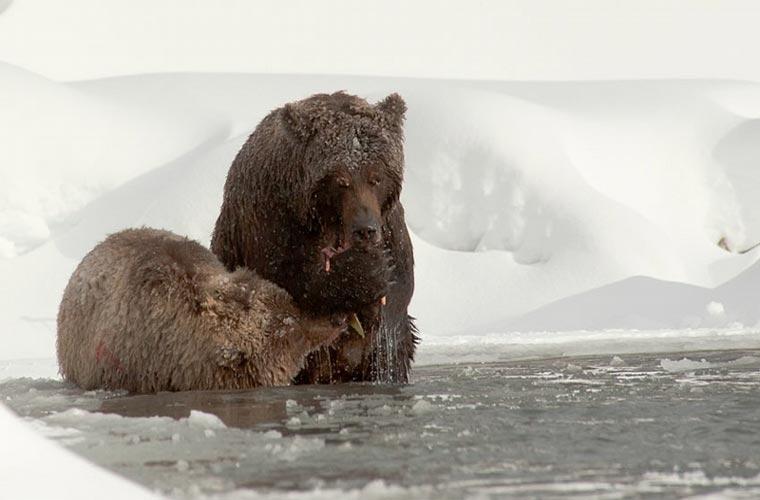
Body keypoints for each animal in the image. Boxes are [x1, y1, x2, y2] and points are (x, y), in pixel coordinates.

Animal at [211, 92, 418, 384]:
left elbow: (399, 287)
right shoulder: (273, 220)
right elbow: (288, 281)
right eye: (341, 180)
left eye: (376, 177)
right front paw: (368, 270)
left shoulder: (389, 226)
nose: (364, 229)